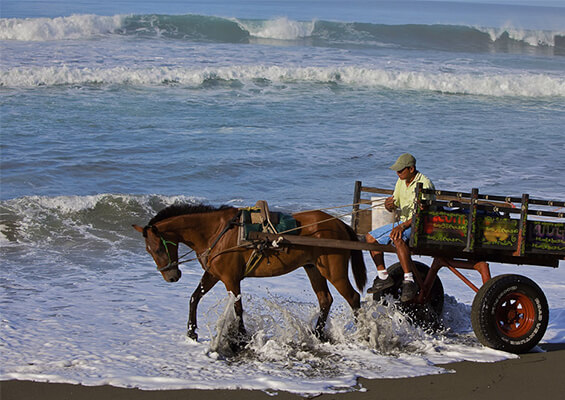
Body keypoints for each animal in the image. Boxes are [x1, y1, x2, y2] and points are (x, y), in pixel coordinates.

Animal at [134, 205, 368, 342]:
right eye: (148, 250)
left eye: (158, 249)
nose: (171, 276)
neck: (218, 231)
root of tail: (339, 224)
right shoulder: (213, 274)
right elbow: (194, 298)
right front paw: (191, 331)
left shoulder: (230, 278)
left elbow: (238, 308)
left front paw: (241, 335)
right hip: (314, 268)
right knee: (325, 299)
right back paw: (318, 333)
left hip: (334, 271)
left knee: (353, 297)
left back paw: (362, 334)